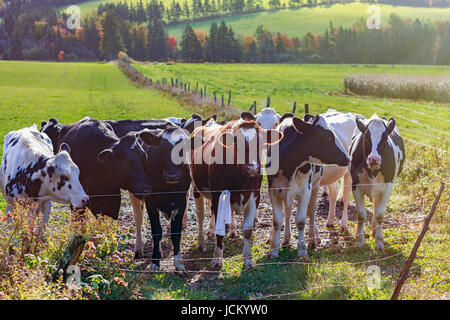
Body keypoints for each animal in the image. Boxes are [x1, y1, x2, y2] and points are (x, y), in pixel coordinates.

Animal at [191, 115, 284, 268]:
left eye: (261, 143)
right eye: (237, 143)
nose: (253, 168)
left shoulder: (254, 196)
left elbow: (247, 229)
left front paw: (247, 260)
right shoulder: (218, 194)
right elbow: (219, 228)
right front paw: (217, 258)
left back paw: (230, 230)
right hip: (196, 188)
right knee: (200, 215)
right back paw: (201, 243)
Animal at [268, 114, 352, 258]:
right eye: (327, 137)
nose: (348, 158)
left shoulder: (305, 190)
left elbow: (301, 220)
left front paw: (302, 250)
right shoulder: (274, 190)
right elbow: (277, 221)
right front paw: (274, 250)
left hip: (326, 182)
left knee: (316, 210)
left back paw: (319, 236)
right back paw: (287, 239)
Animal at [348, 114, 404, 251]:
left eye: (385, 138)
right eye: (367, 136)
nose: (374, 159)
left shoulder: (388, 187)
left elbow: (379, 214)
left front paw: (379, 243)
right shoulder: (355, 186)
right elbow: (361, 215)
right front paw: (359, 241)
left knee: (376, 205)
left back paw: (374, 230)